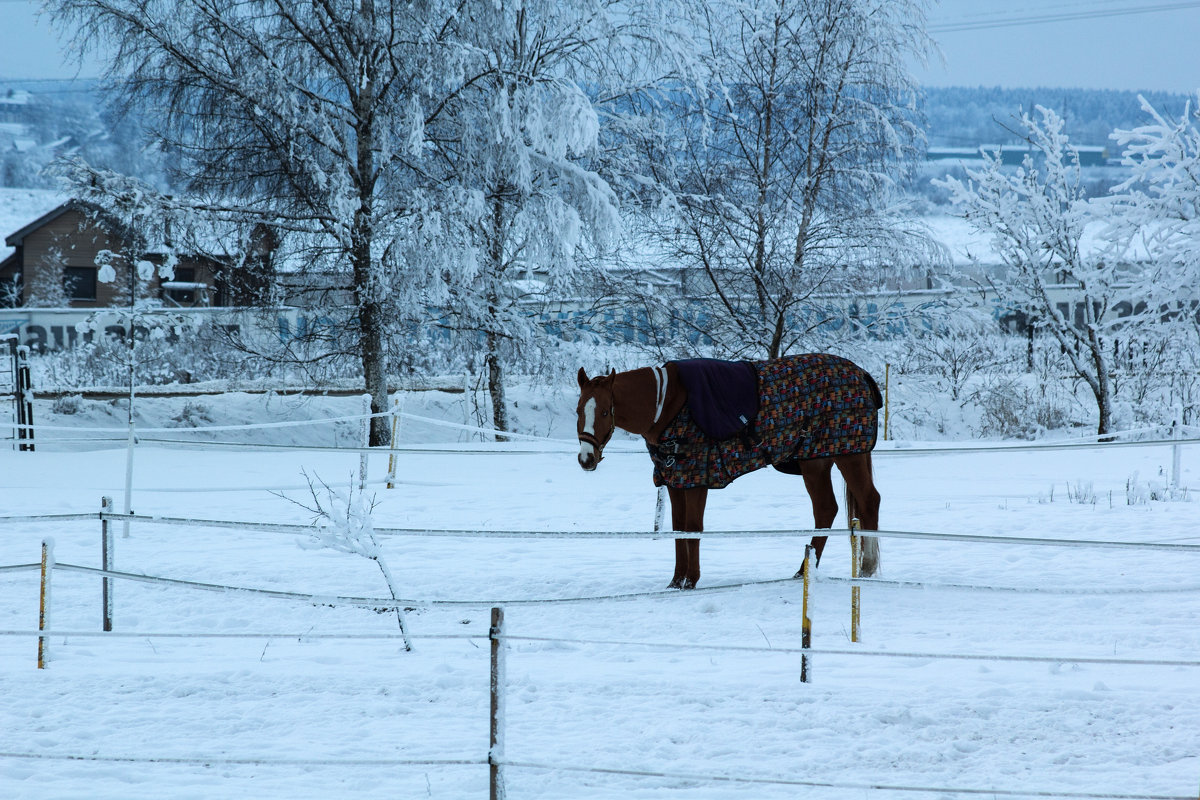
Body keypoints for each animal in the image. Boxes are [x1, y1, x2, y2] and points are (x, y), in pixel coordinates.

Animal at [576, 352, 888, 592]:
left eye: (604, 412)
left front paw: (691, 581)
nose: (586, 458)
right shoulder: (676, 480)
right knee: (825, 509)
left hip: (849, 454)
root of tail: (861, 374)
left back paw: (867, 567)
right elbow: (678, 529)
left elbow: (693, 527)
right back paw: (803, 571)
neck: (668, 404)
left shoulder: (697, 479)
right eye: (579, 410)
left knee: (868, 500)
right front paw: (675, 581)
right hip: (815, 461)